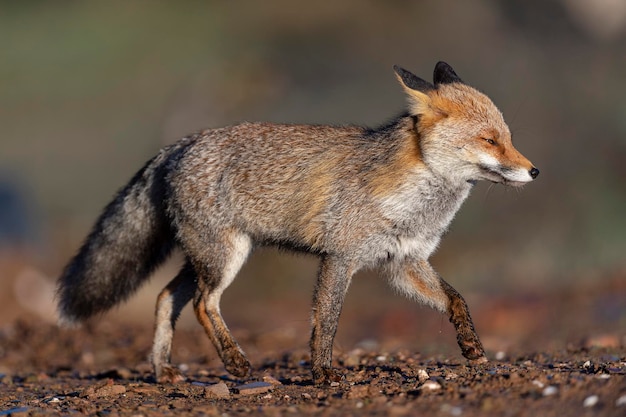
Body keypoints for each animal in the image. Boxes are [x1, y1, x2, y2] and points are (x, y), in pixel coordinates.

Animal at [56, 61, 540, 384]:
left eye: (508, 138)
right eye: (489, 140)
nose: (534, 171)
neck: (415, 200)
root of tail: (179, 144)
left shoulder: (404, 261)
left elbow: (456, 299)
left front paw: (472, 348)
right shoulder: (340, 258)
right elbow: (326, 321)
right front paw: (323, 373)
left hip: (205, 258)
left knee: (165, 298)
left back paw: (163, 371)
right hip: (225, 257)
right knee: (202, 304)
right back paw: (235, 364)